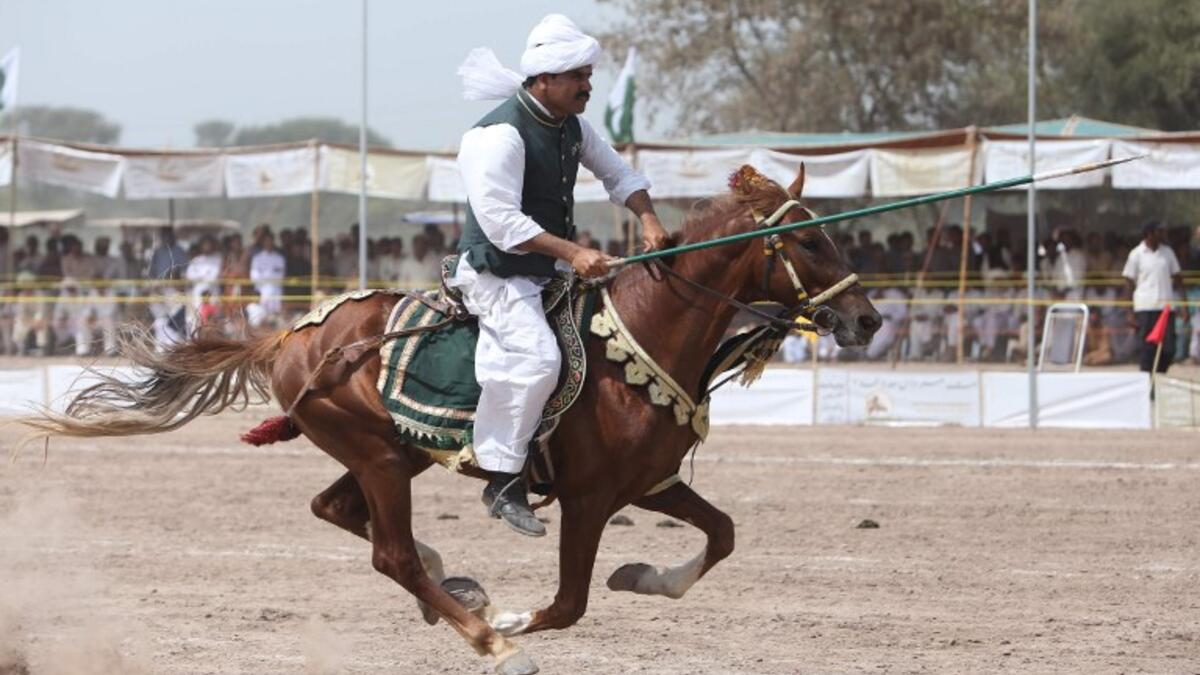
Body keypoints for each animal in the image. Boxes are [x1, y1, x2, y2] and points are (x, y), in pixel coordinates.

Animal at [19, 163, 880, 674]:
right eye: (807, 238)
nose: (868, 319)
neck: (635, 338)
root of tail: (293, 334)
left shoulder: (651, 481)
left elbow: (723, 533)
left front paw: (642, 575)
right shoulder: (590, 497)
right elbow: (567, 603)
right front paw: (511, 624)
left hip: (389, 454)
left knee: (337, 511)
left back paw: (452, 583)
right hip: (375, 454)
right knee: (389, 553)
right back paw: (482, 628)